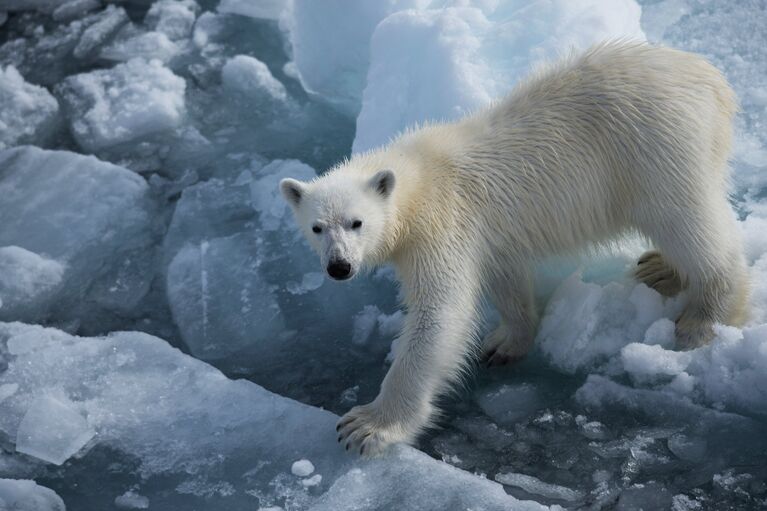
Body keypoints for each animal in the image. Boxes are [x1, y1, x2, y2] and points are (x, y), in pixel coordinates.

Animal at [278, 43, 752, 456]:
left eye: (357, 222)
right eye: (317, 228)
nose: (339, 267)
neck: (417, 180)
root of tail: (712, 80)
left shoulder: (442, 224)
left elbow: (440, 314)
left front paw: (368, 426)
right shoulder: (486, 236)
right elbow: (504, 278)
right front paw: (505, 343)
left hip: (657, 149)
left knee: (689, 224)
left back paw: (702, 316)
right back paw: (660, 269)